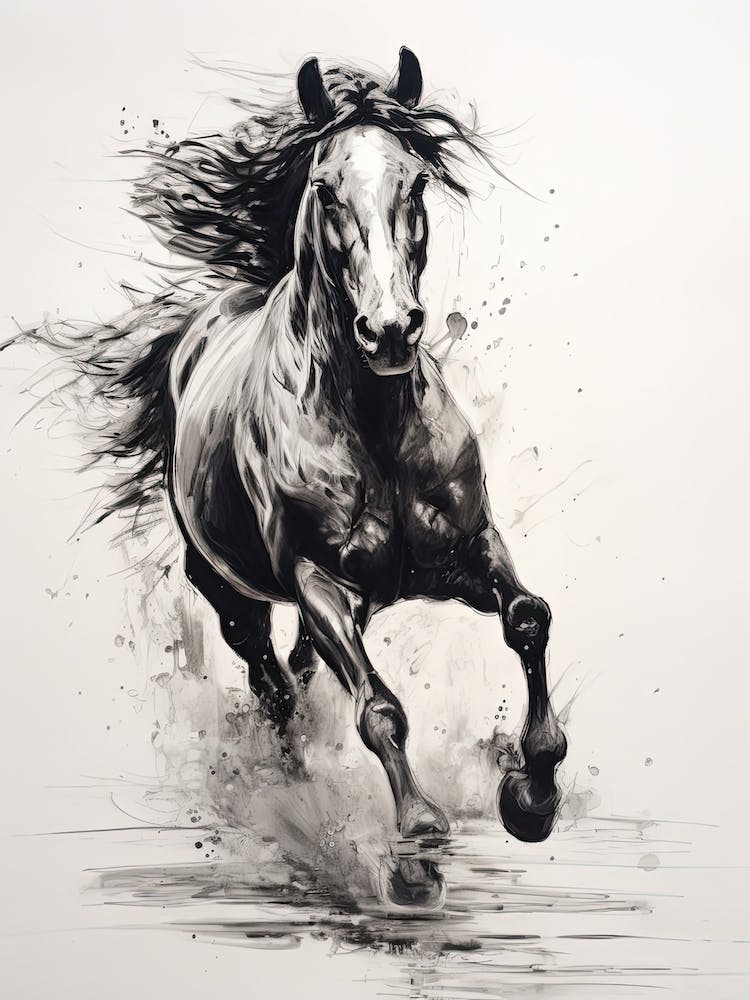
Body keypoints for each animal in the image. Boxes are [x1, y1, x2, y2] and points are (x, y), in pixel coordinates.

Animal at [32, 48, 567, 848]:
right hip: (231, 589)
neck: (373, 429)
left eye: (417, 181)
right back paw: (289, 784)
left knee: (298, 668)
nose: (390, 330)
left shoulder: (469, 550)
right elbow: (379, 709)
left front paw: (532, 792)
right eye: (325, 188)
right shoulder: (317, 582)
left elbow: (528, 618)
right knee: (271, 681)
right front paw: (419, 827)